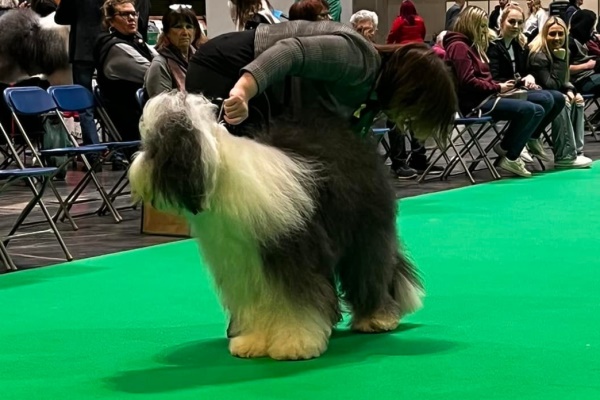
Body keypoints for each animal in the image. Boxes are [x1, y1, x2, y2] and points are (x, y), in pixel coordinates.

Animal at [128, 91, 424, 360]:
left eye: (153, 147)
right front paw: (252, 342)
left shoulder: (290, 255)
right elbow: (256, 306)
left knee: (370, 269)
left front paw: (295, 343)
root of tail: (356, 137)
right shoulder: (243, 264)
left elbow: (296, 304)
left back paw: (377, 318)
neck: (220, 173)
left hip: (365, 231)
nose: (133, 171)